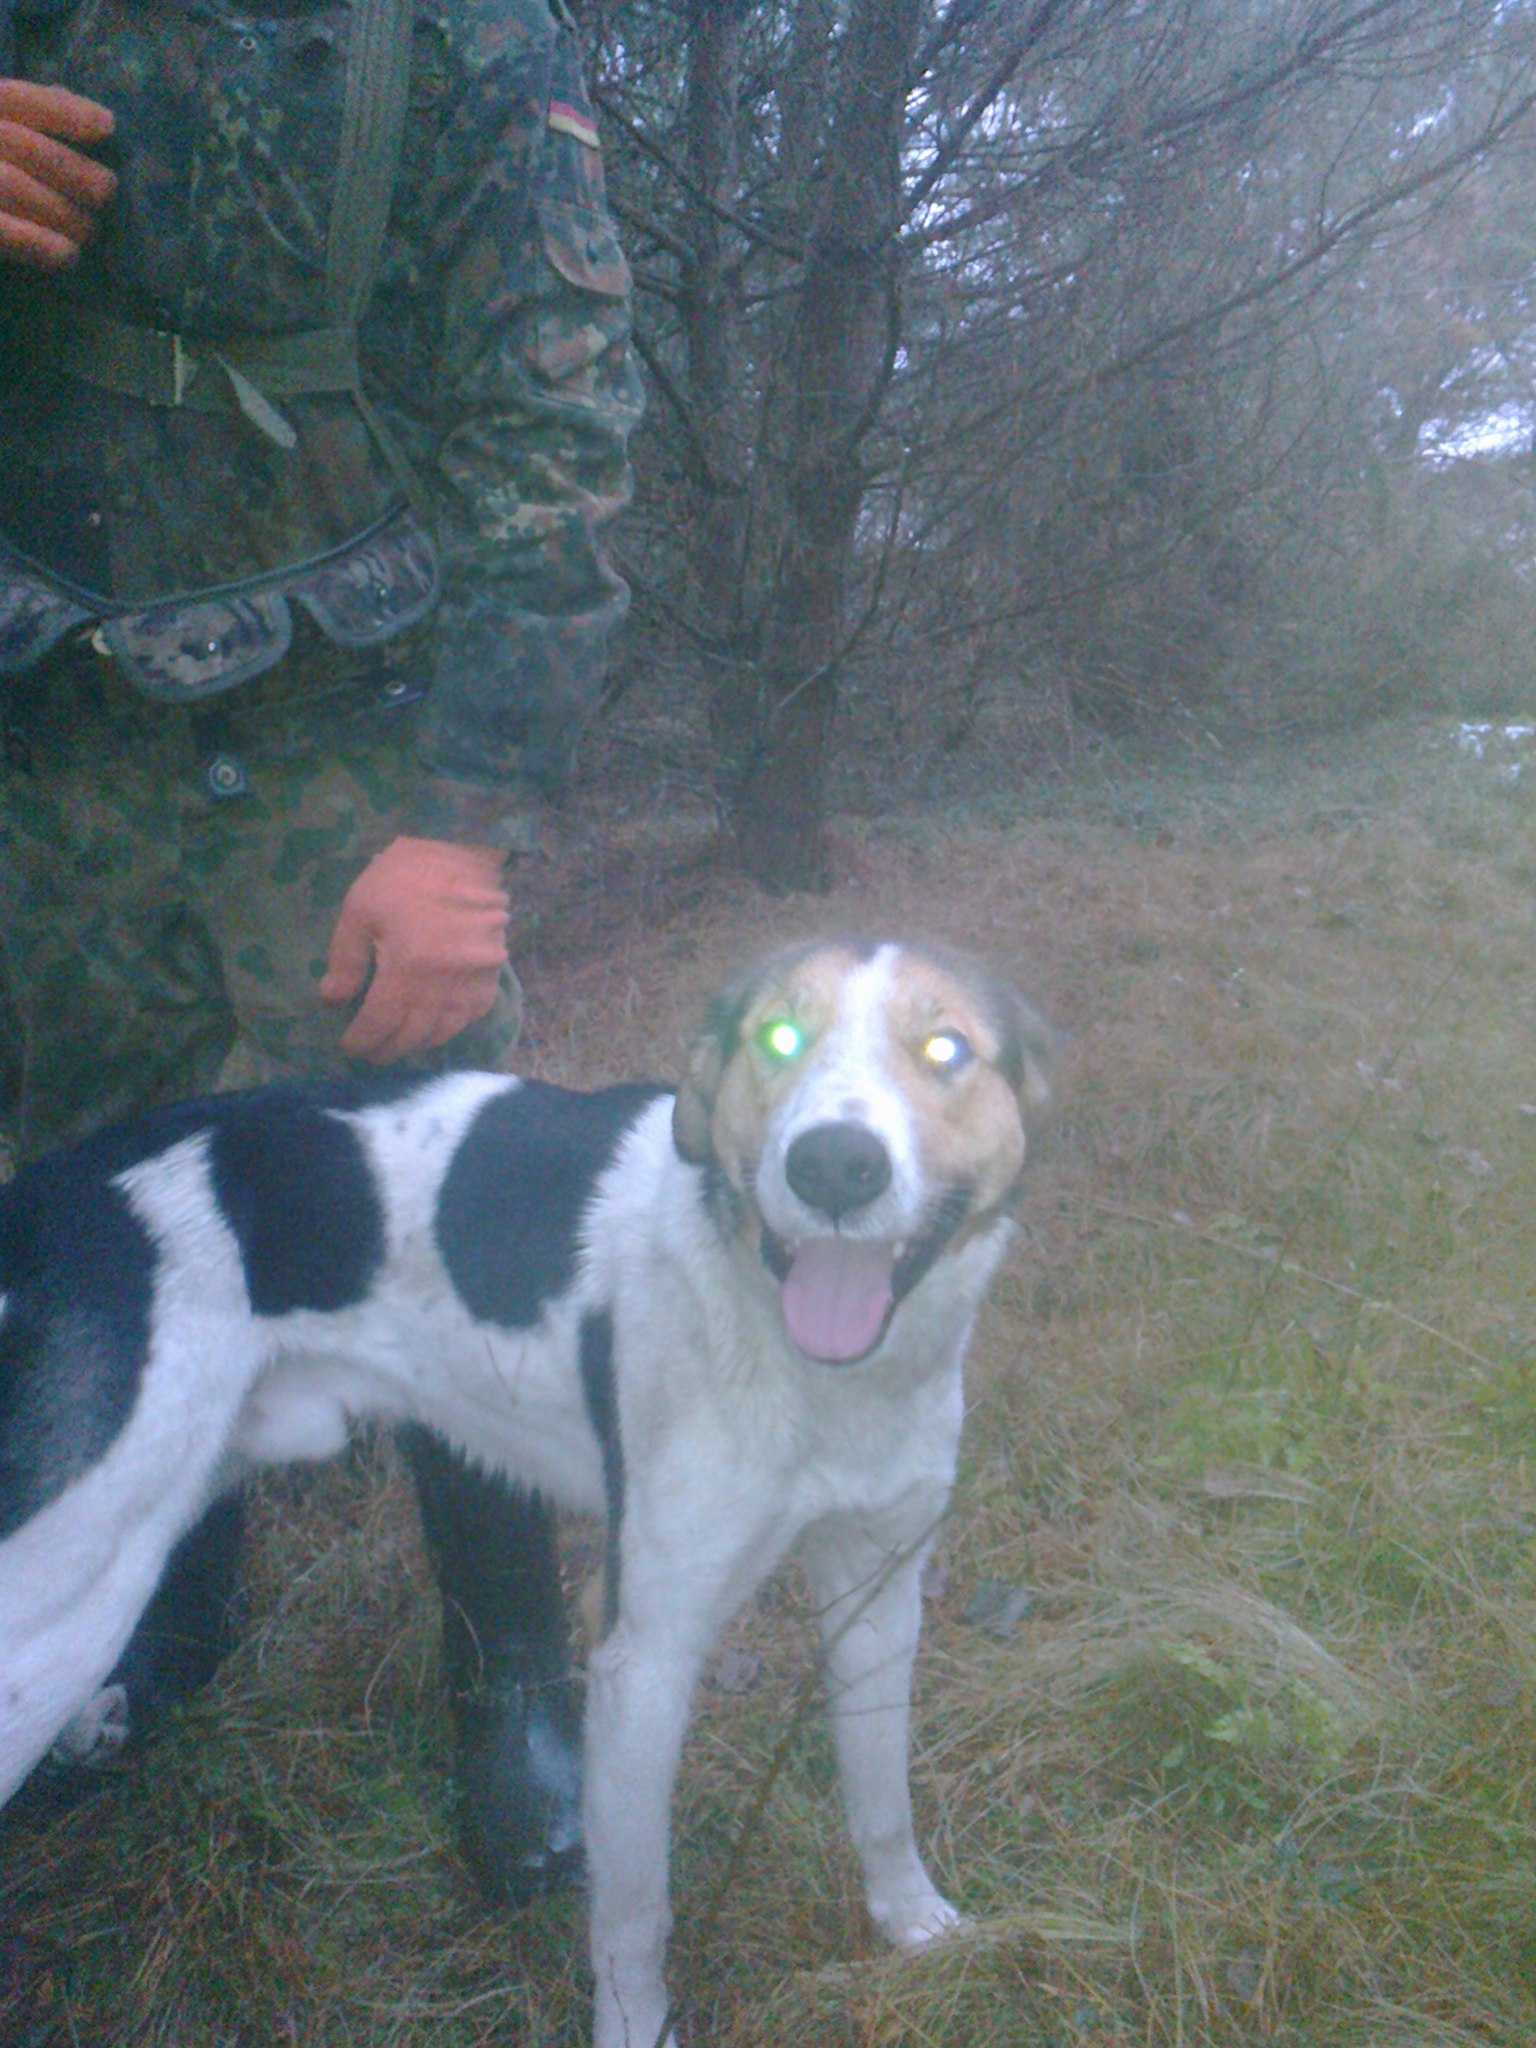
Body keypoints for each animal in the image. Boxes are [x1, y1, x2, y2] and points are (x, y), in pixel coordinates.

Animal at [0, 936, 1051, 2048]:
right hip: (62, 1594)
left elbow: (881, 1793)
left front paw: (915, 1925)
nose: (836, 1165)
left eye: (946, 1049)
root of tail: (40, 1194)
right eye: (779, 1035)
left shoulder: (880, 1591)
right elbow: (634, 1914)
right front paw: (635, 2029)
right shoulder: (642, 1657)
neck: (821, 1371)